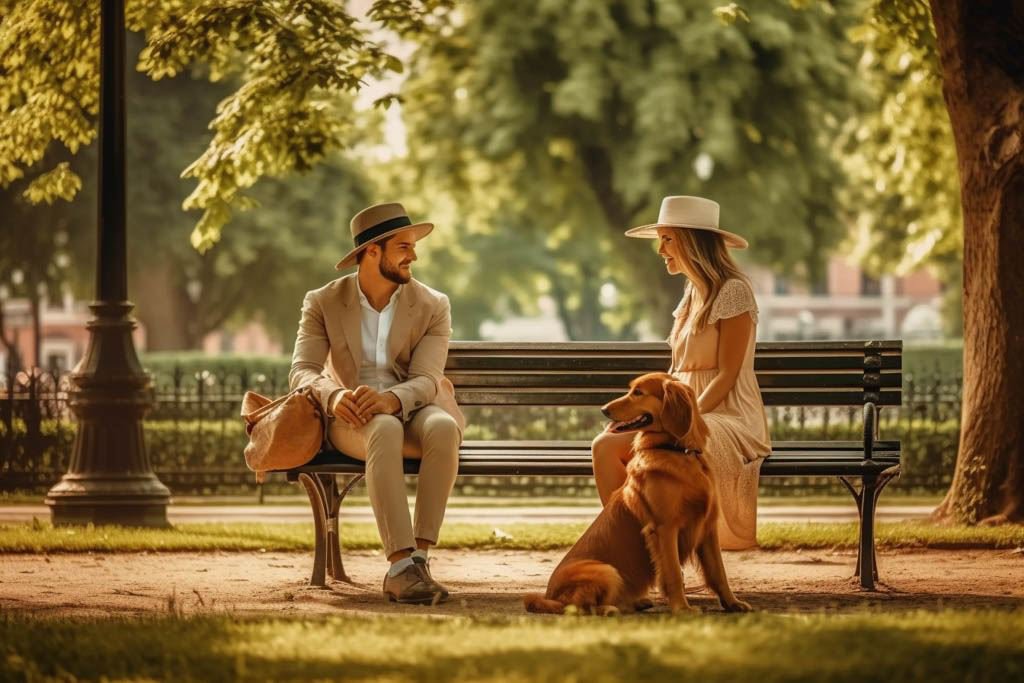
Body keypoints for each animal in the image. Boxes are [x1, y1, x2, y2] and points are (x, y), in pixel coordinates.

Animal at [524, 374, 749, 618]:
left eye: (638, 393)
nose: (603, 409)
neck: (678, 451)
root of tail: (549, 595)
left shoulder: (707, 528)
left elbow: (719, 572)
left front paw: (733, 603)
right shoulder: (664, 528)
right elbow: (673, 573)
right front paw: (682, 608)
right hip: (606, 570)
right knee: (578, 607)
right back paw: (610, 608)